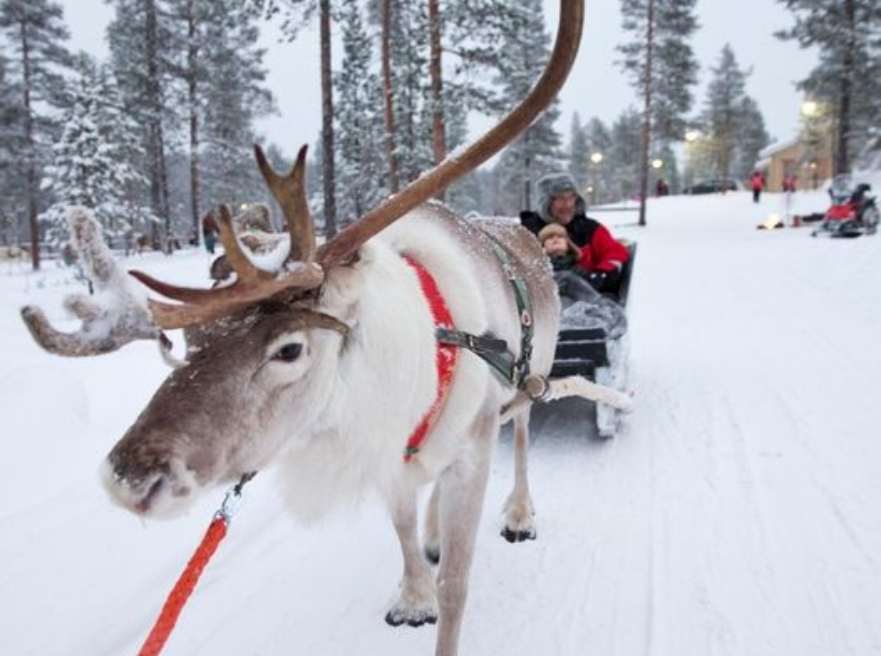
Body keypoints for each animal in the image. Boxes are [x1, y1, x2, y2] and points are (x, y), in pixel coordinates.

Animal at [19, 2, 629, 653]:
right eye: (187, 342)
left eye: (289, 349)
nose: (129, 477)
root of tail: (523, 234)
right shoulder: (388, 455)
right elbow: (402, 528)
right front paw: (413, 592)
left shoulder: (473, 443)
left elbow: (459, 587)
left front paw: (442, 588)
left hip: (531, 379)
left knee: (523, 436)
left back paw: (518, 513)